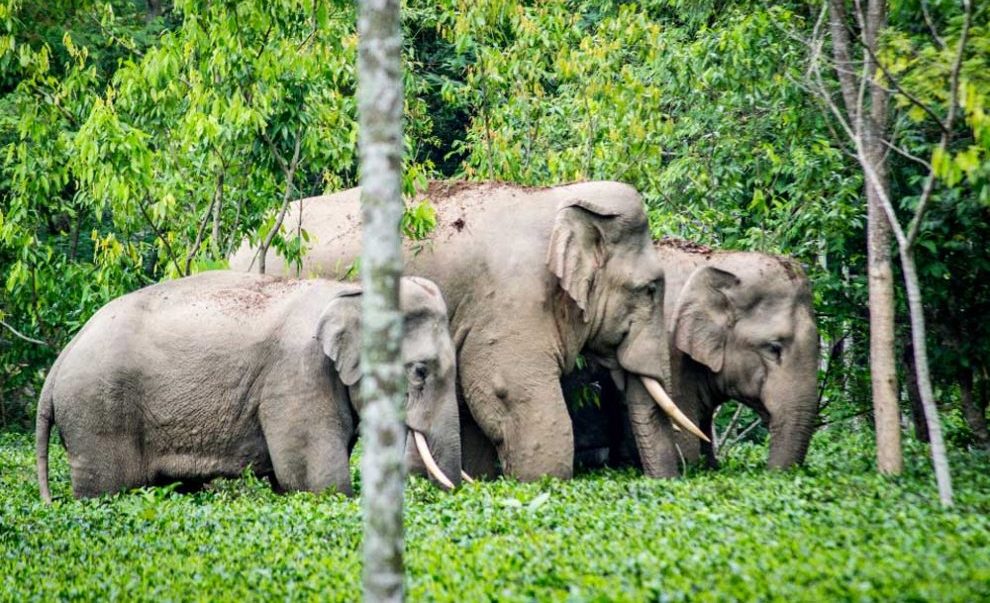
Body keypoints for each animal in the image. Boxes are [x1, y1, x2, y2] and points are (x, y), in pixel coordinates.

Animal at [35, 272, 462, 502]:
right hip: (98, 411)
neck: (351, 290)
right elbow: (315, 480)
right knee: (107, 490)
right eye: (419, 371)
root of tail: (63, 357)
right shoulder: (297, 375)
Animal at [231, 182, 704, 484]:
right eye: (650, 289)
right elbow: (510, 394)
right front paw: (541, 484)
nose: (667, 485)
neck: (562, 198)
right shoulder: (511, 302)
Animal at [568, 241, 816, 476]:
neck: (719, 262)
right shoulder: (667, 347)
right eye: (774, 348)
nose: (770, 473)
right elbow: (684, 441)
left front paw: (710, 466)